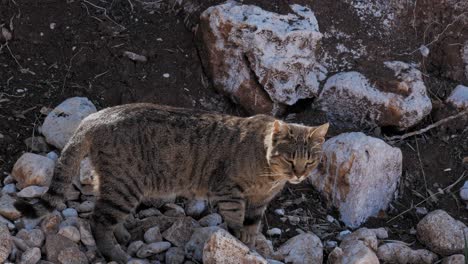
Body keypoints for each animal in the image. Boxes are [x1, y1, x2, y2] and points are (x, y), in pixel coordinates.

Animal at [15, 104, 330, 262]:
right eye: (290, 159)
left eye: (310, 161)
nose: (299, 175)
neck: (270, 176)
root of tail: (92, 119)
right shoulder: (229, 191)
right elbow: (235, 220)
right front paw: (240, 239)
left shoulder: (260, 201)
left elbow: (252, 222)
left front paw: (251, 239)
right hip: (125, 185)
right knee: (98, 220)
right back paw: (117, 253)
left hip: (115, 184)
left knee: (99, 205)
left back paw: (123, 233)